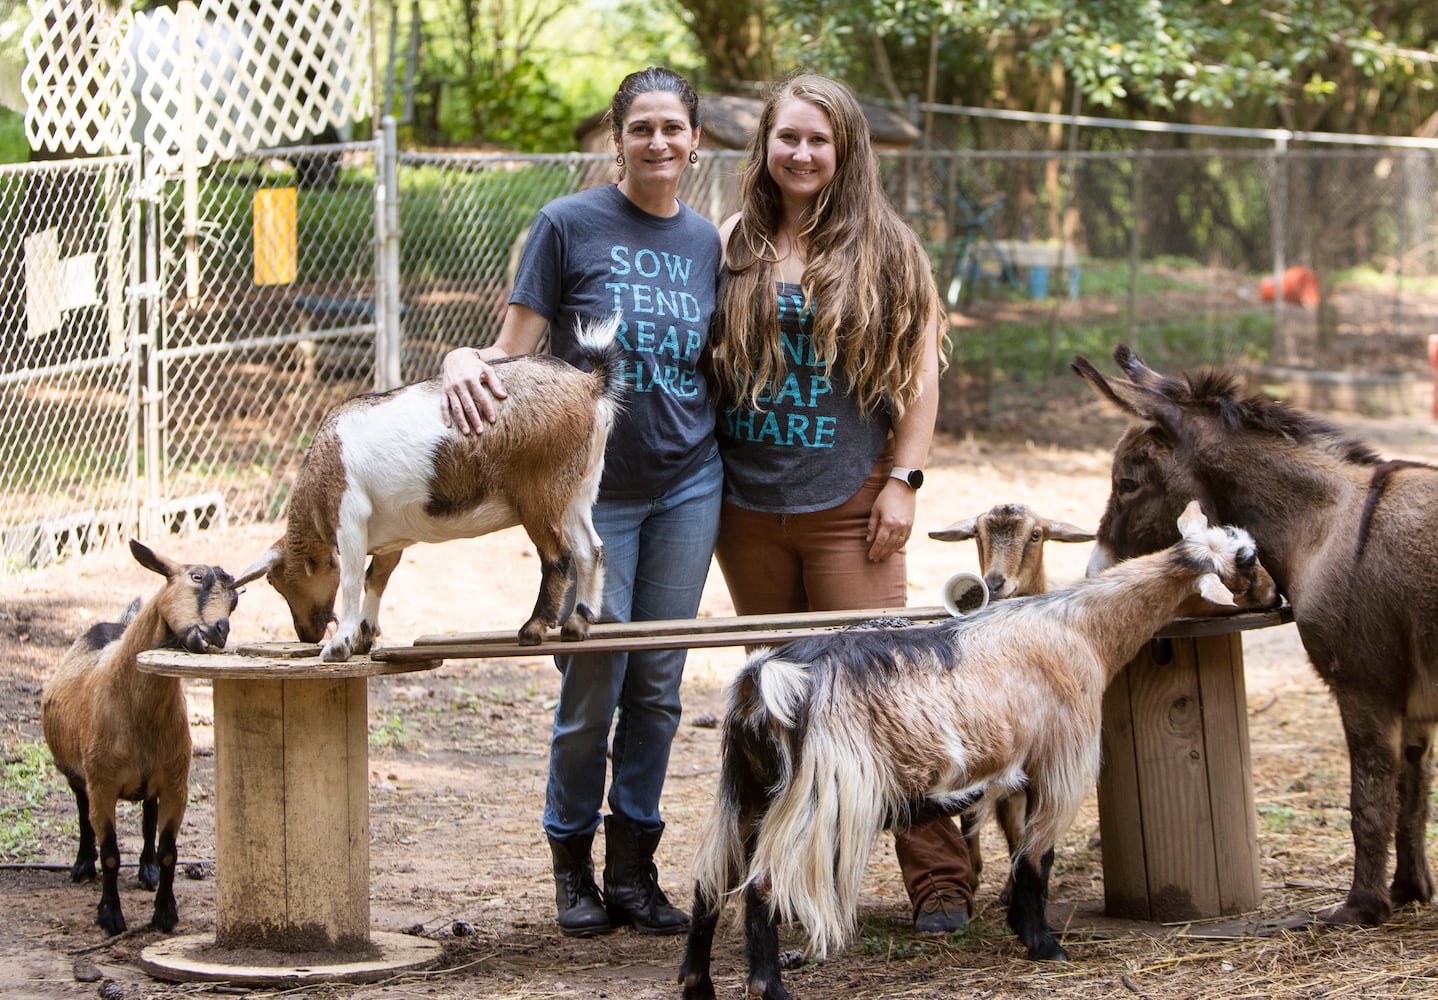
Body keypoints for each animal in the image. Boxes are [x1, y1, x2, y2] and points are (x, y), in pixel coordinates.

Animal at [41, 541, 261, 938]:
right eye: (196, 576)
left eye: (235, 601)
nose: (218, 631)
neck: (134, 711)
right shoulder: (102, 785)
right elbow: (111, 852)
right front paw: (110, 916)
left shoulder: (176, 784)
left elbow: (169, 850)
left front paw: (165, 913)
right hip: (76, 772)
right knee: (81, 808)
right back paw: (82, 865)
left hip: (155, 777)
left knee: (148, 814)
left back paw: (147, 870)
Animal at [244, 313, 626, 656]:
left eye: (278, 582)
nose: (306, 634)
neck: (323, 461)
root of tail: (591, 385)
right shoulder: (390, 539)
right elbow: (376, 578)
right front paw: (366, 636)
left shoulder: (349, 517)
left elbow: (352, 579)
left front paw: (340, 645)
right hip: (579, 489)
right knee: (590, 548)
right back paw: (577, 623)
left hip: (540, 495)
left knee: (558, 556)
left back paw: (533, 628)